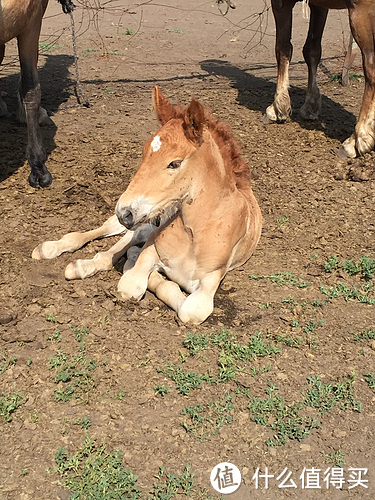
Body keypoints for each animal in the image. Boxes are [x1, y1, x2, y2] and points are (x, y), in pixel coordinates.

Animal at [32, 87, 262, 324]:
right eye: (143, 153)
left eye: (174, 163)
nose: (124, 211)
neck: (195, 231)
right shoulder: (151, 247)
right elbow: (134, 283)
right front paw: (134, 261)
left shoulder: (209, 282)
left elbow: (188, 310)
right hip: (143, 223)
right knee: (110, 234)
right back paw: (52, 250)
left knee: (117, 248)